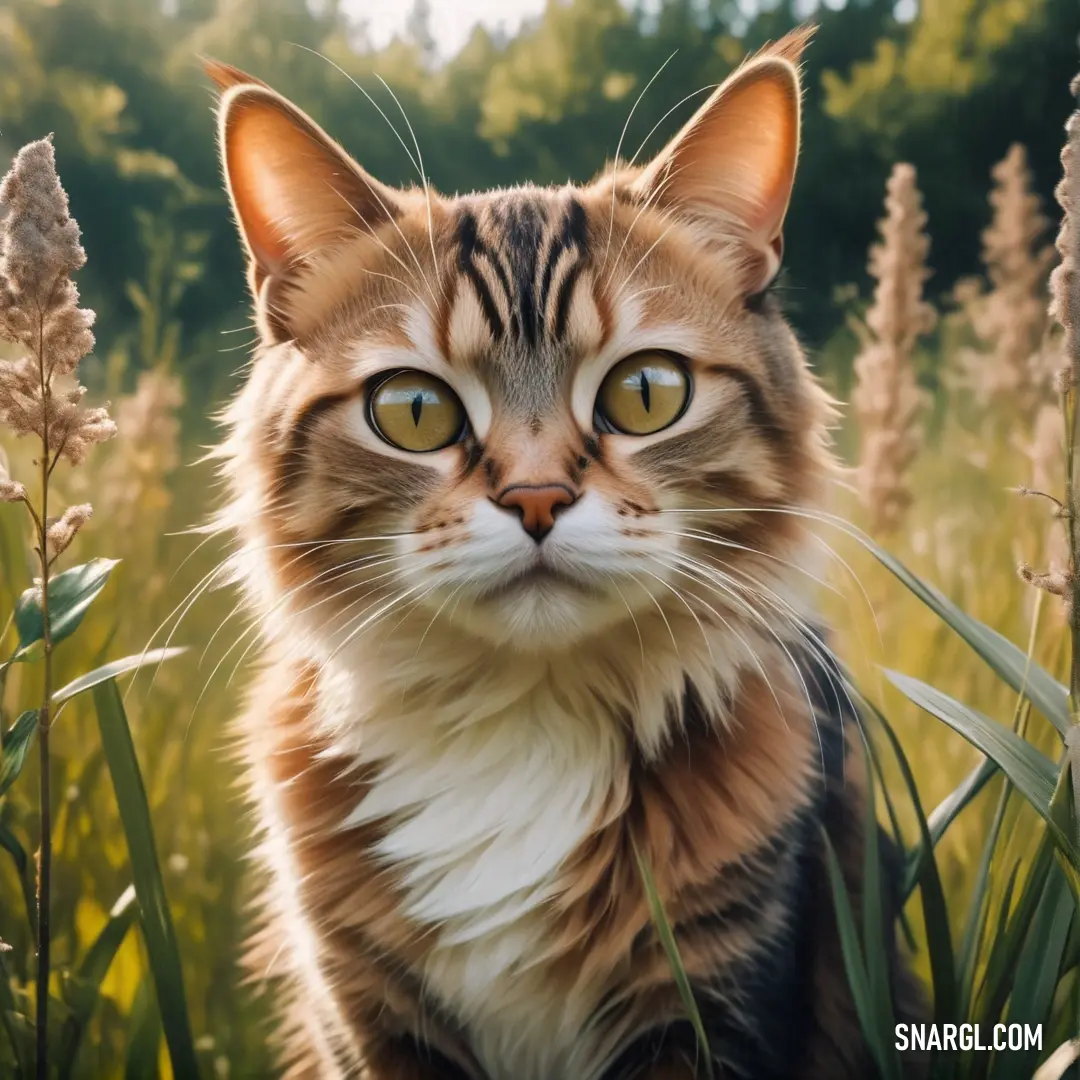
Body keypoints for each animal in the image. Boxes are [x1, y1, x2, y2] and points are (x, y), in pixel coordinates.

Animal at [200, 25, 920, 1080]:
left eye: (647, 394)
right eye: (413, 411)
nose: (535, 498)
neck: (524, 727)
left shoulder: (719, 1007)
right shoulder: (368, 1022)